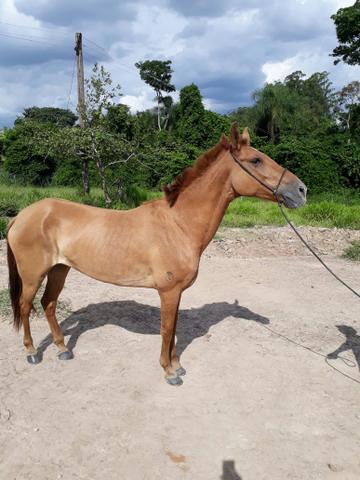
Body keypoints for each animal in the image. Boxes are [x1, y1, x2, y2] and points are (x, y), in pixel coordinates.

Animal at [6, 124, 306, 386]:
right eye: (256, 160)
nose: (302, 190)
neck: (179, 224)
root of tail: (21, 216)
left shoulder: (177, 292)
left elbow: (173, 329)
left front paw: (178, 366)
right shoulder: (168, 291)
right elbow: (166, 329)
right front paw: (169, 372)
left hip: (60, 269)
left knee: (49, 304)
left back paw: (63, 349)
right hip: (33, 276)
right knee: (25, 306)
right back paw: (31, 352)